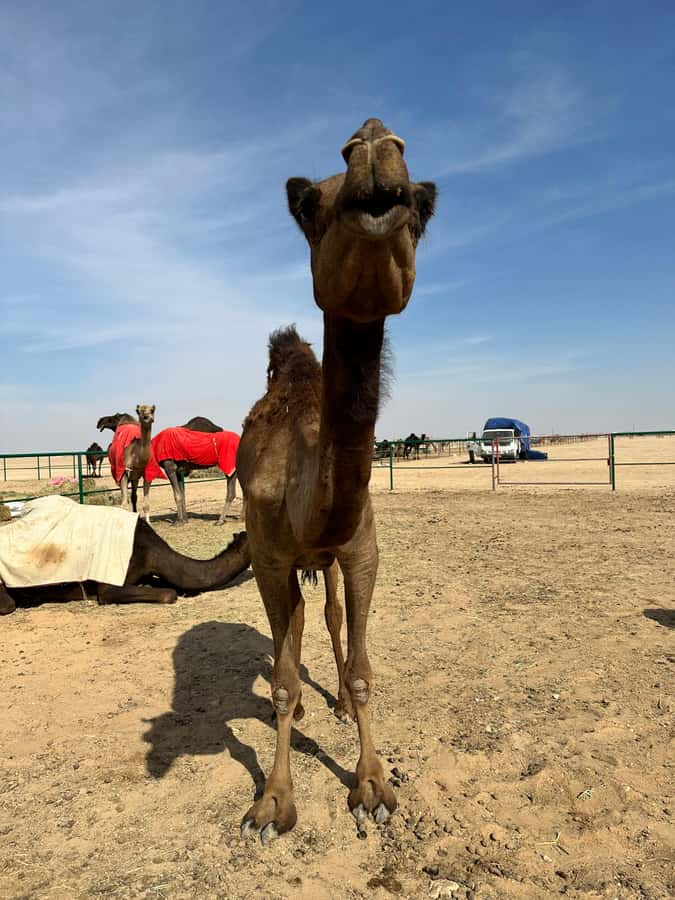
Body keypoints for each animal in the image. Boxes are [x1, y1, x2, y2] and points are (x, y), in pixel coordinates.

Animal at [237, 118, 436, 844]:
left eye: (423, 206)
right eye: (310, 207)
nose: (373, 141)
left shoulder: (361, 545)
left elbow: (362, 668)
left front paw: (372, 785)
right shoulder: (267, 555)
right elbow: (282, 680)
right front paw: (272, 803)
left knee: (328, 620)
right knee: (290, 641)